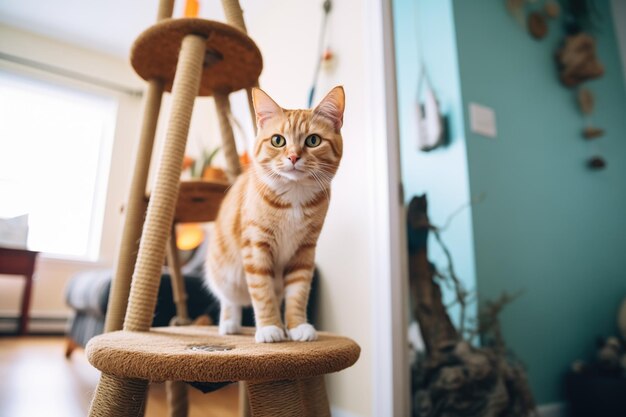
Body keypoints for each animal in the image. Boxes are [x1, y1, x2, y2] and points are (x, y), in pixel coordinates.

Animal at [204, 85, 342, 342]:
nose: (294, 157)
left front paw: (297, 326)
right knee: (230, 300)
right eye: (278, 140)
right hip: (226, 275)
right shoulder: (256, 247)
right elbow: (262, 293)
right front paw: (269, 327)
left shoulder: (304, 251)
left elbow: (298, 293)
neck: (294, 198)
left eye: (313, 140)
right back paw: (230, 324)